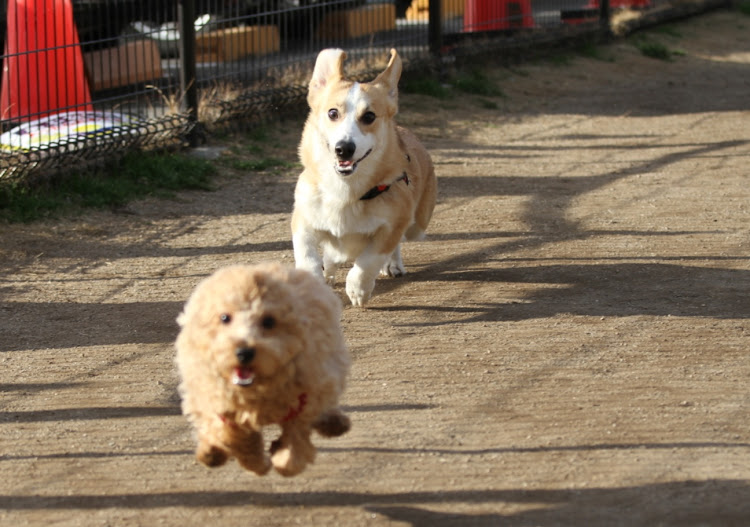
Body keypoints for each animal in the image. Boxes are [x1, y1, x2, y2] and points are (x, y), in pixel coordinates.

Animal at [176, 266, 352, 476]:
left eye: (269, 321)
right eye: (224, 317)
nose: (244, 352)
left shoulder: (305, 398)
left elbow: (295, 443)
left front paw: (283, 460)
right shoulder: (220, 399)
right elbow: (235, 437)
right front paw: (255, 462)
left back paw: (334, 423)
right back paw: (212, 452)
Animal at [290, 48, 438, 310]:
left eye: (369, 116)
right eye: (332, 113)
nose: (344, 149)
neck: (345, 193)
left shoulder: (392, 226)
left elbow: (369, 260)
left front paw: (358, 290)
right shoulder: (303, 221)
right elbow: (307, 256)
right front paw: (315, 281)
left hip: (417, 226)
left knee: (398, 243)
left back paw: (393, 265)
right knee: (331, 255)